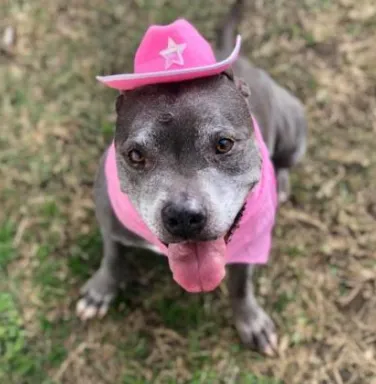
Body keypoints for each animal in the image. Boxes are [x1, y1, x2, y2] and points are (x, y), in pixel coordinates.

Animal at [75, 0, 306, 356]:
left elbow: (241, 284)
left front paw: (250, 320)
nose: (183, 216)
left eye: (223, 144)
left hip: (293, 125)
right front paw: (102, 289)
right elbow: (113, 256)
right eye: (136, 155)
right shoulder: (108, 218)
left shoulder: (249, 245)